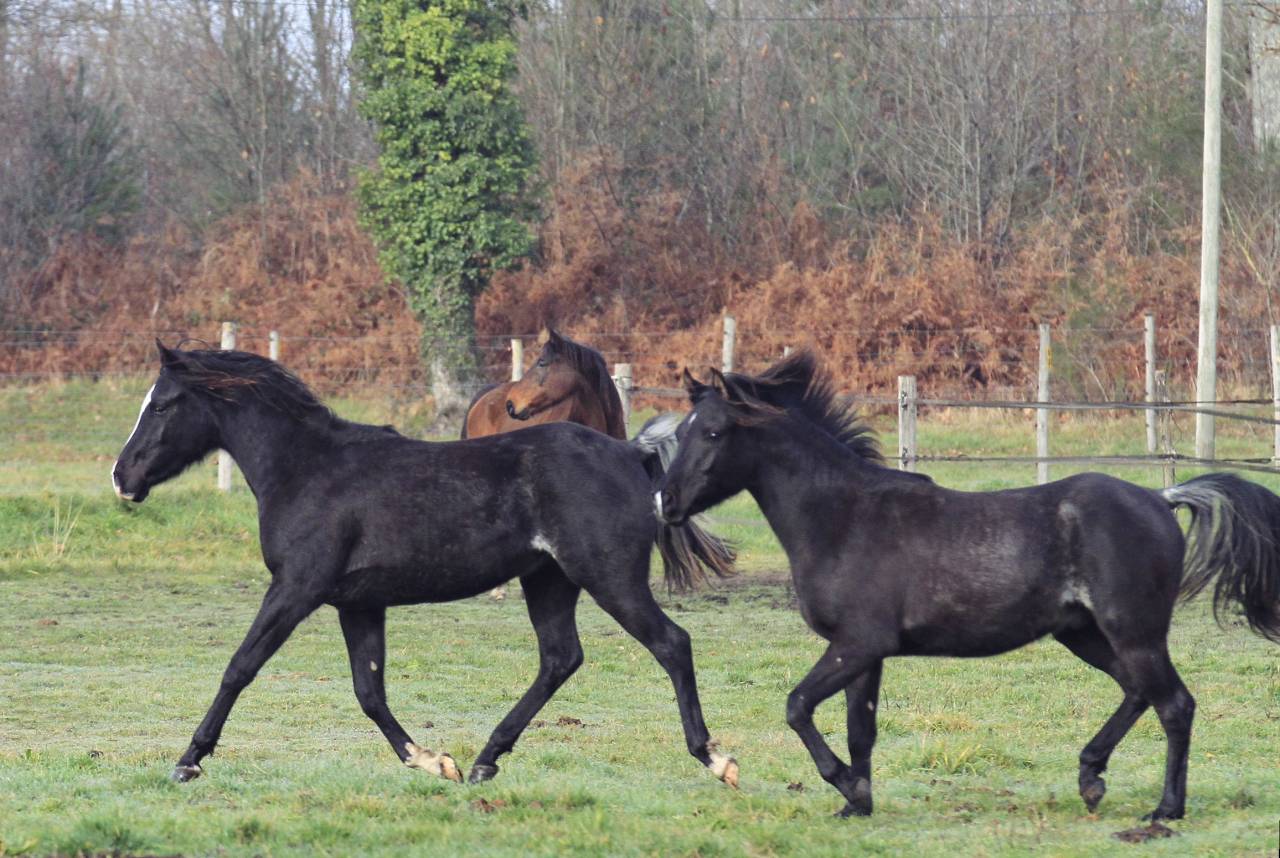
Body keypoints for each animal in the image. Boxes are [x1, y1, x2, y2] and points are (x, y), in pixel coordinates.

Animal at [110, 342, 740, 789]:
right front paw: (434, 761)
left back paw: (715, 759)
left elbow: (240, 667)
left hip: (608, 578)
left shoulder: (295, 589)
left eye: (161, 404)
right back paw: (485, 760)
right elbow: (369, 690)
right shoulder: (358, 603)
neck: (309, 469)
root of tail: (632, 453)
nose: (122, 476)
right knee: (561, 658)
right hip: (549, 580)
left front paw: (188, 760)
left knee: (671, 644)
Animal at [656, 351, 1280, 821]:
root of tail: (1162, 498)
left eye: (712, 431)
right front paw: (857, 803)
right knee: (1137, 692)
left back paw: (1165, 810)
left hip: (1134, 631)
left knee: (1174, 704)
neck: (845, 517)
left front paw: (846, 787)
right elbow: (861, 730)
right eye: (680, 431)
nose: (665, 501)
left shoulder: (857, 644)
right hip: (1084, 633)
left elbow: (797, 706)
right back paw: (1090, 778)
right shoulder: (866, 653)